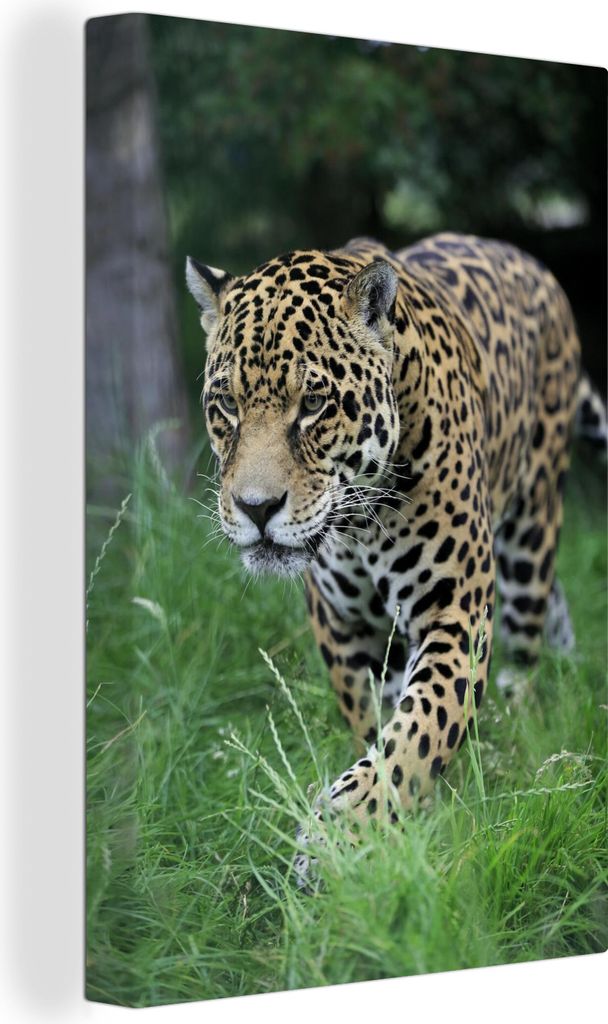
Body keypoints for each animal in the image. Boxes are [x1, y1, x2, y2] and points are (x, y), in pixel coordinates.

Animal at [186, 232, 606, 880]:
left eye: (314, 402)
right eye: (226, 403)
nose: (256, 508)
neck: (360, 523)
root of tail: (529, 261)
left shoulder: (454, 611)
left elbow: (419, 730)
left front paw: (346, 831)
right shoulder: (344, 627)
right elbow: (378, 723)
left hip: (530, 534)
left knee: (526, 646)